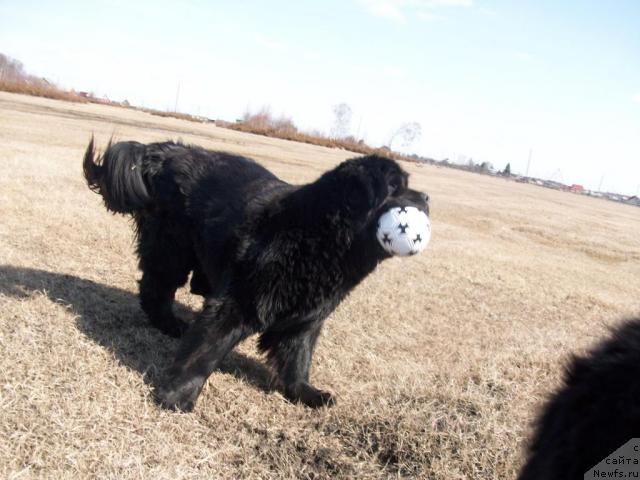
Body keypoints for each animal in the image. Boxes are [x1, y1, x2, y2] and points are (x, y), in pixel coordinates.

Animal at [81, 137, 430, 410]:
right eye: (395, 187)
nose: (426, 197)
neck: (317, 236)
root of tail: (164, 151)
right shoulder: (236, 302)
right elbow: (206, 350)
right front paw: (176, 395)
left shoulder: (305, 320)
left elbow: (298, 357)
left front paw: (306, 393)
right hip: (172, 249)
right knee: (156, 285)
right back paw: (169, 324)